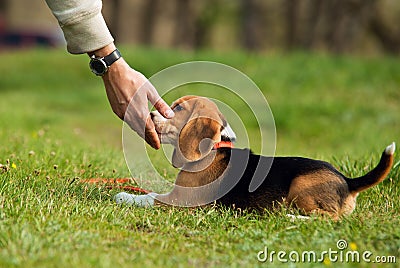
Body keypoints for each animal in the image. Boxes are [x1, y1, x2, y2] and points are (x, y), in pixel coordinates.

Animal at [114, 95, 396, 219]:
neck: (214, 150)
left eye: (179, 108)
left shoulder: (181, 201)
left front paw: (124, 196)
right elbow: (151, 193)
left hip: (301, 187)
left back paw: (289, 217)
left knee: (330, 219)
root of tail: (348, 181)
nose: (150, 115)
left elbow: (148, 198)